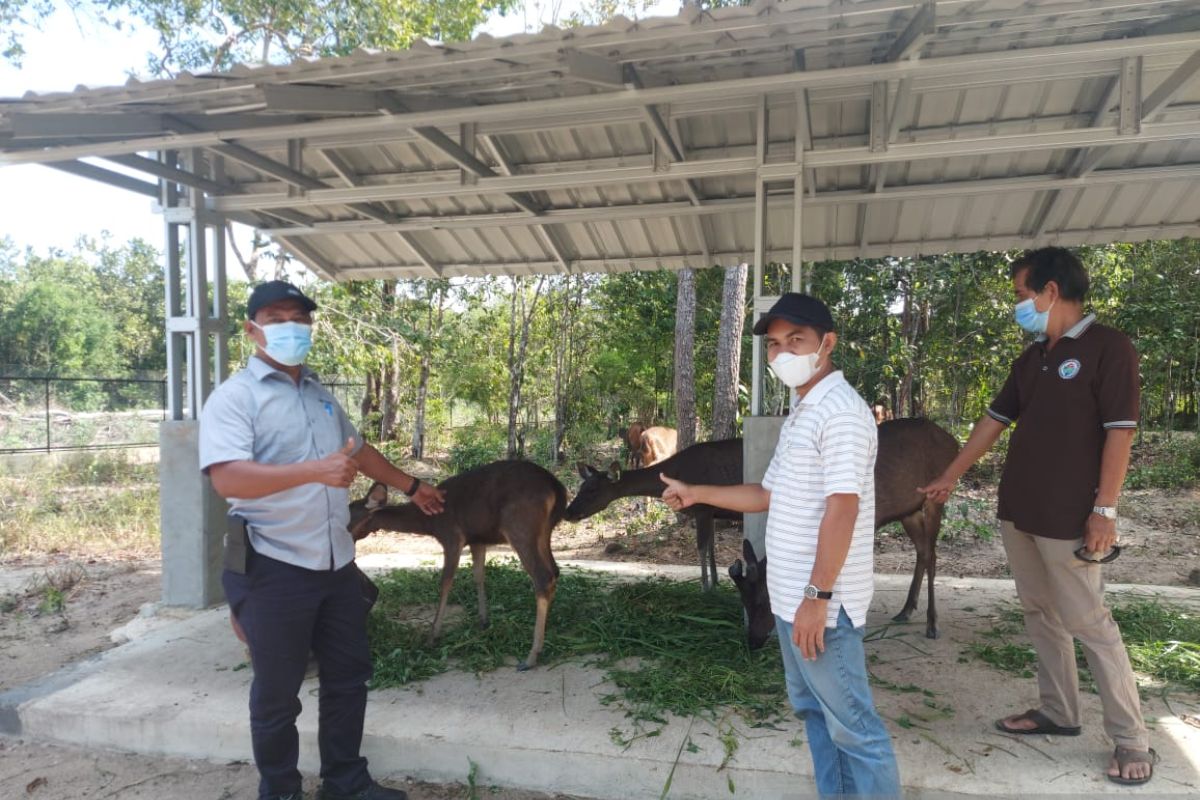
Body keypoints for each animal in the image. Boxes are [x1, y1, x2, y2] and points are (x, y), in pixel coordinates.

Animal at [350, 460, 568, 671]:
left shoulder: (452, 536)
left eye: (348, 514)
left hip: (519, 525)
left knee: (543, 576)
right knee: (554, 571)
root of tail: (557, 489)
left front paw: (432, 636)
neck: (429, 523)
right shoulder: (477, 539)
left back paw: (531, 656)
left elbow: (446, 582)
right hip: (544, 531)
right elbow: (478, 575)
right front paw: (483, 621)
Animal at [566, 434, 744, 592]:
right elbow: (711, 546)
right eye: (581, 487)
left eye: (592, 489)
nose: (568, 512)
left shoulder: (702, 508)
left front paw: (705, 589)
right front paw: (715, 583)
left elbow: (701, 547)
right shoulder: (711, 512)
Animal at [724, 417, 960, 647]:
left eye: (762, 600)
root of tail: (954, 442)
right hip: (908, 510)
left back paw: (932, 623)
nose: (753, 641)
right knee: (923, 551)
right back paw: (906, 610)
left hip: (937, 497)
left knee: (932, 554)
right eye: (743, 599)